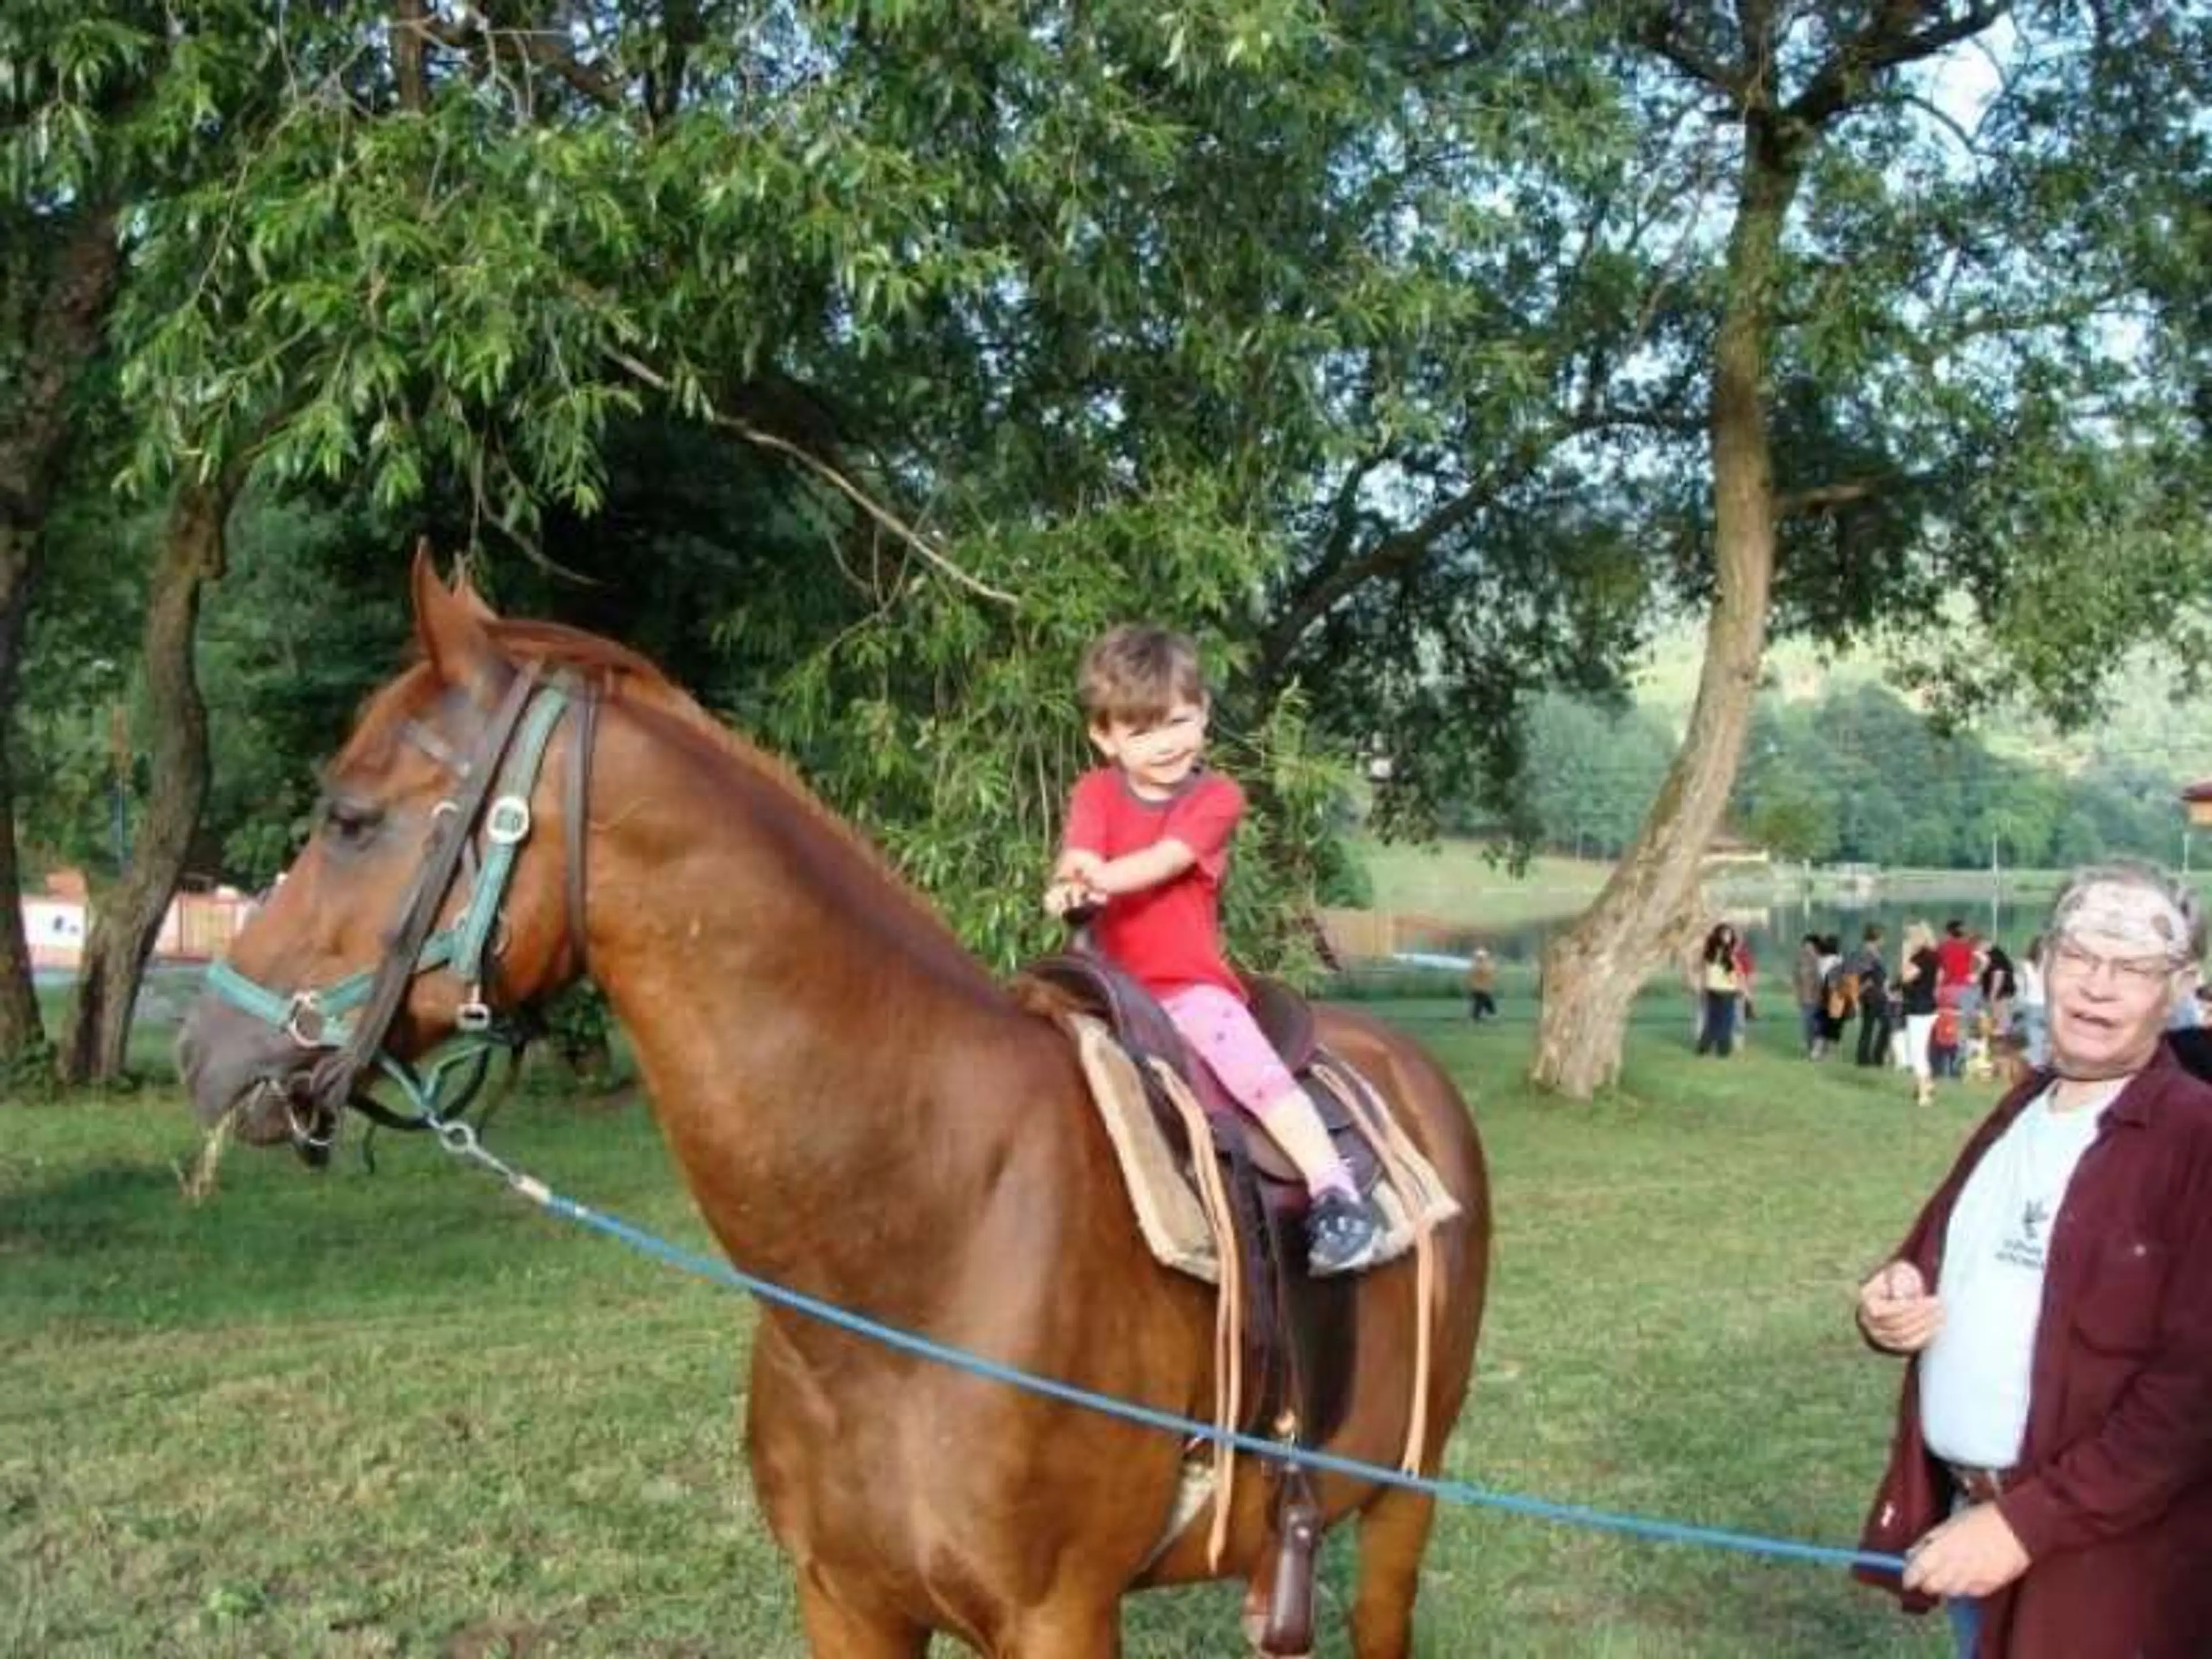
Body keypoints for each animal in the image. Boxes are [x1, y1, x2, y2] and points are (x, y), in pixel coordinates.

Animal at [172, 566, 1486, 1654]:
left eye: (350, 819)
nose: (203, 1048)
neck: (923, 1239)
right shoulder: (845, 1603)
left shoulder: (1060, 1617)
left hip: (1405, 1510)